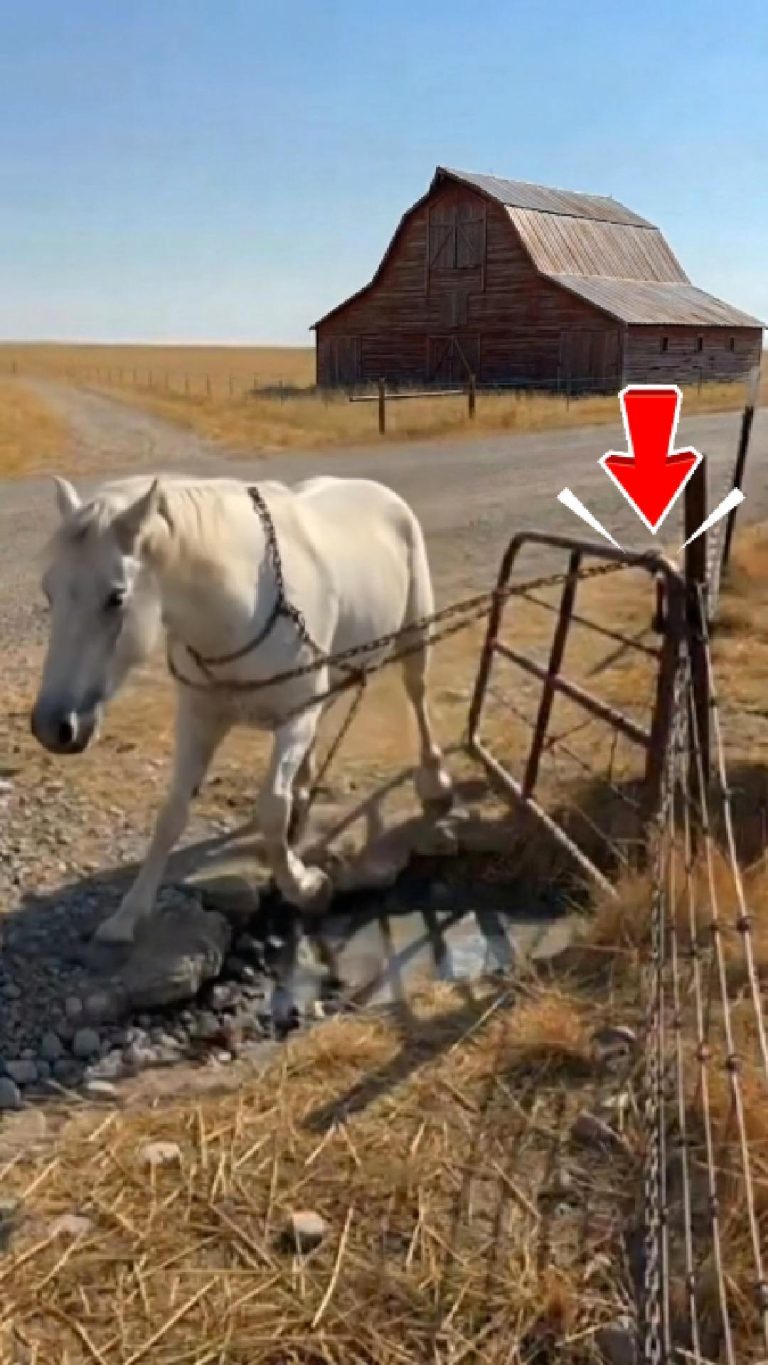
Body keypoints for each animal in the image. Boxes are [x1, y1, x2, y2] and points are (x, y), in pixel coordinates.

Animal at [31, 473, 453, 943]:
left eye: (116, 597)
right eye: (49, 590)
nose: (54, 726)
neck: (238, 611)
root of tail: (380, 492)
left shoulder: (294, 718)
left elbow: (271, 808)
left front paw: (304, 886)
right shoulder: (198, 720)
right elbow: (171, 815)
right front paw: (127, 917)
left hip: (415, 634)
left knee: (416, 694)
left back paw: (435, 779)